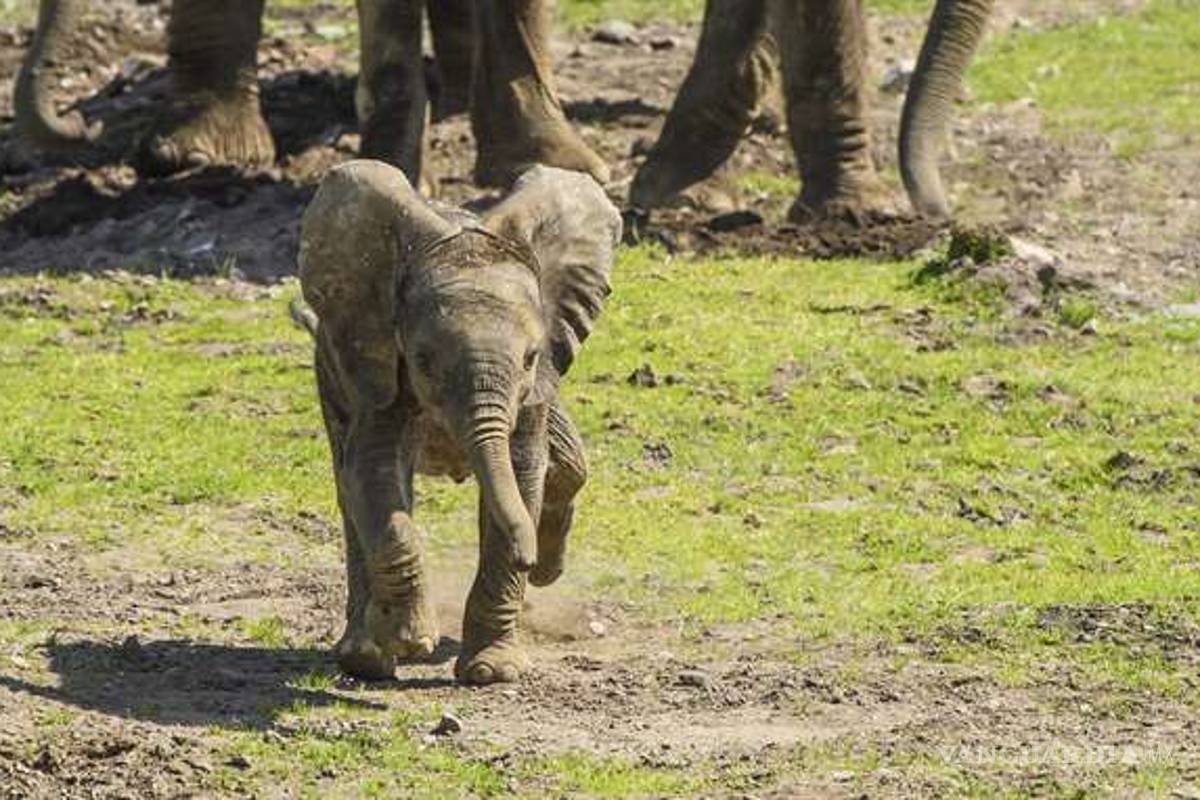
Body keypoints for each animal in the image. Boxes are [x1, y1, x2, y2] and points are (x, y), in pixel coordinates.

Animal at [296, 160, 620, 683]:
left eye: (530, 358)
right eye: (423, 361)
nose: (528, 556)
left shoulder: (535, 388)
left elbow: (523, 472)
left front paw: (491, 672)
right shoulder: (375, 357)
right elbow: (372, 472)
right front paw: (411, 641)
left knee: (568, 466)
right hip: (330, 365)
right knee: (348, 485)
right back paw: (366, 657)